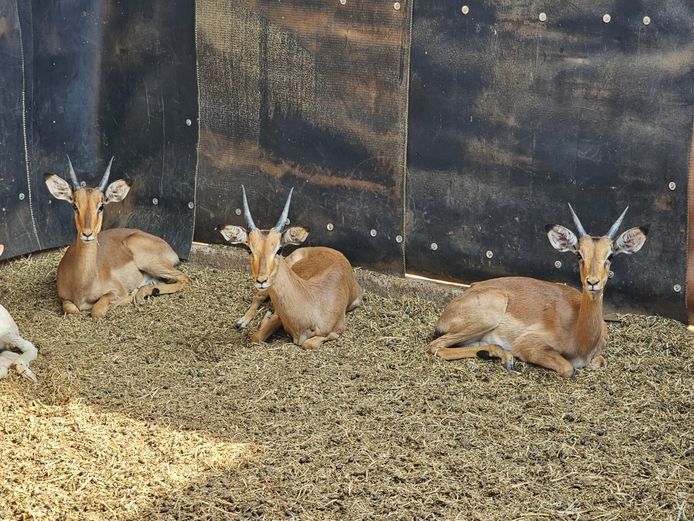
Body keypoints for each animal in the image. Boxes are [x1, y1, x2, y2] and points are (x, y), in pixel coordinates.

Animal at [44, 157, 190, 318]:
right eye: (75, 205)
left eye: (101, 206)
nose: (87, 234)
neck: (82, 286)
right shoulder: (64, 298)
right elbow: (71, 309)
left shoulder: (116, 291)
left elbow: (97, 310)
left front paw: (129, 295)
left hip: (150, 262)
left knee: (185, 278)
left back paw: (139, 294)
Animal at [217, 186, 363, 349]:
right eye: (249, 249)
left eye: (279, 249)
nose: (261, 280)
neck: (313, 302)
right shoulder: (279, 315)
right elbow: (257, 336)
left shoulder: (337, 330)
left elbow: (308, 343)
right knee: (258, 296)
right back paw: (241, 322)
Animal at [427, 205, 648, 378]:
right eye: (578, 254)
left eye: (610, 256)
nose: (592, 282)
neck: (580, 339)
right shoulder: (531, 346)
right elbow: (568, 368)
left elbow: (599, 362)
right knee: (435, 347)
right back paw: (506, 358)